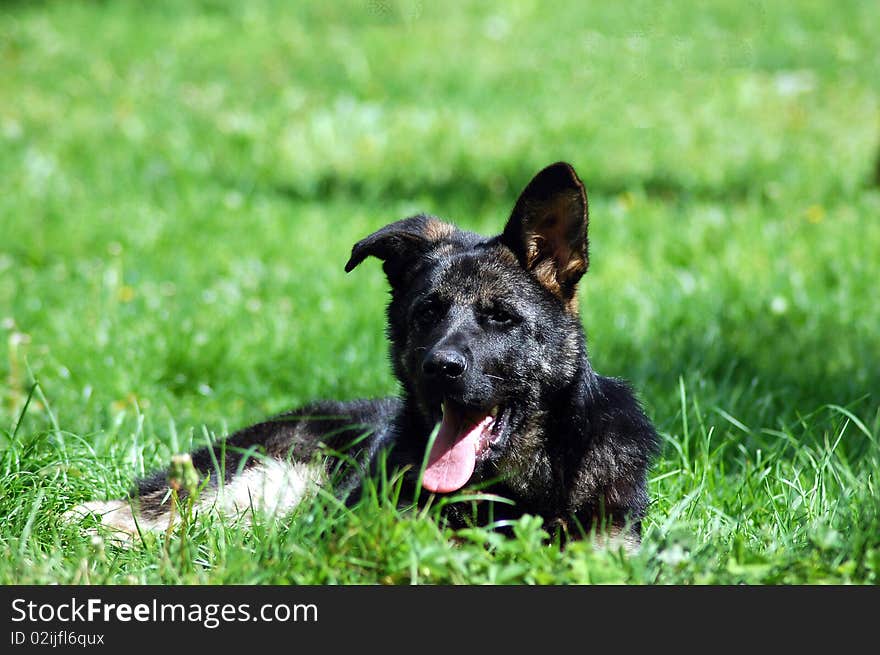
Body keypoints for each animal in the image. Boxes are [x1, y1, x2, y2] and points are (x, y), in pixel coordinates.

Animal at [72, 163, 656, 548]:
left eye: (500, 317)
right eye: (426, 313)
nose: (439, 368)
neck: (515, 490)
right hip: (263, 484)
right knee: (139, 519)